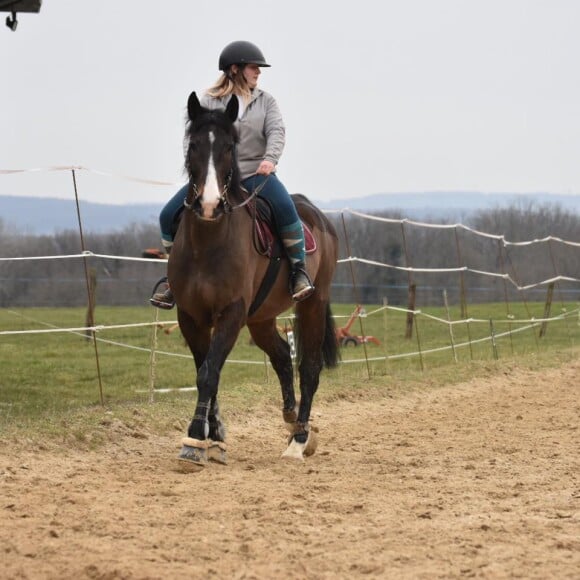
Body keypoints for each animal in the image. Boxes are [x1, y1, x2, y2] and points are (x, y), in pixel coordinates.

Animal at [168, 93, 340, 468]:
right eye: (194, 145)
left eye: (230, 146)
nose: (209, 205)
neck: (208, 241)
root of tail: (317, 215)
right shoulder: (190, 316)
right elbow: (206, 371)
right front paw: (215, 439)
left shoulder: (231, 313)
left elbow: (209, 373)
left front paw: (194, 440)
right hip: (261, 318)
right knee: (281, 356)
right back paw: (291, 420)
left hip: (312, 305)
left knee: (309, 368)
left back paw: (299, 440)